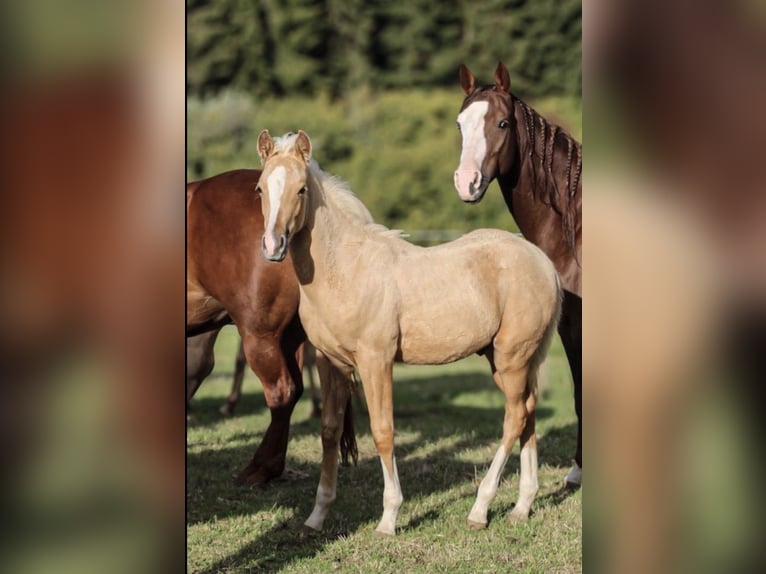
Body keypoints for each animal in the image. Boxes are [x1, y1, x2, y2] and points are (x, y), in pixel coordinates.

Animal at [256, 130, 562, 535]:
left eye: (302, 189)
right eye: (260, 189)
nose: (273, 246)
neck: (347, 270)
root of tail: (543, 263)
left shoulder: (376, 361)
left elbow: (383, 432)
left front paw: (388, 518)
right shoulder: (331, 363)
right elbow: (329, 431)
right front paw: (316, 517)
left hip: (513, 357)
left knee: (514, 418)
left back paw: (480, 509)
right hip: (503, 360)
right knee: (528, 411)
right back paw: (522, 506)